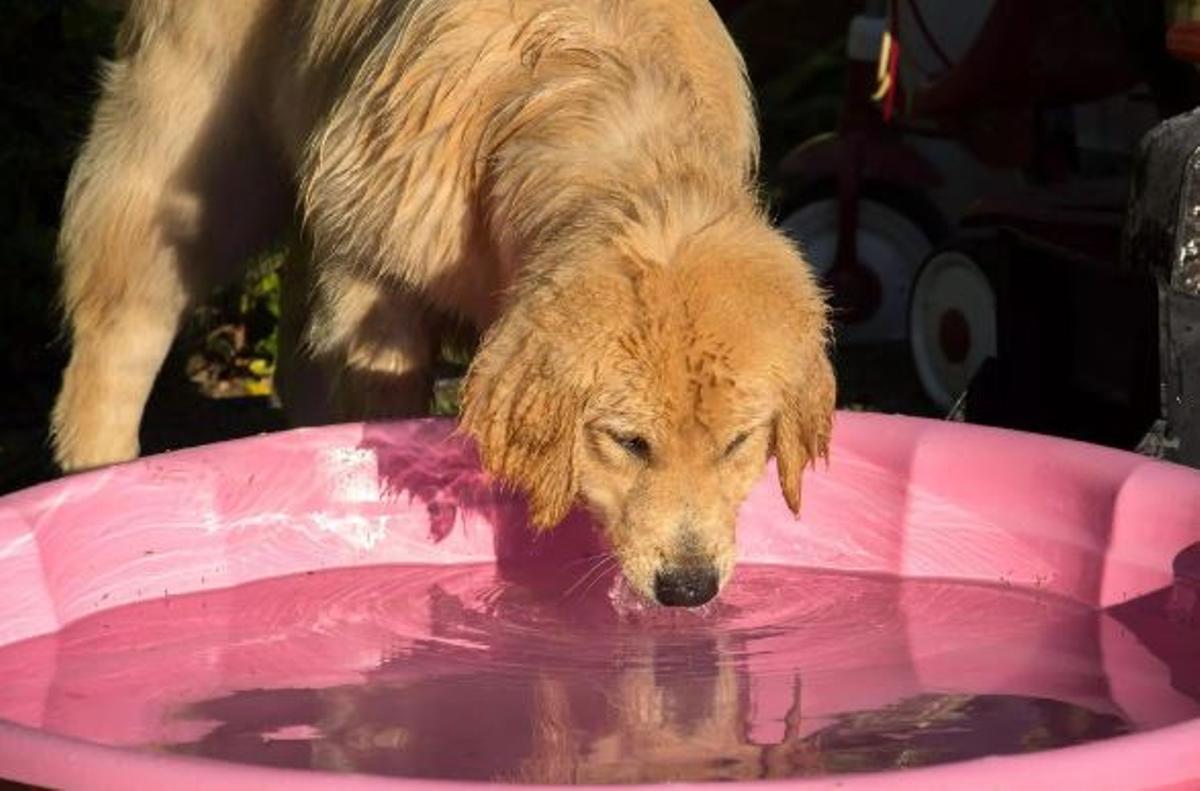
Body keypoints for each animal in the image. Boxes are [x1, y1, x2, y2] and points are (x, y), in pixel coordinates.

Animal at [49, 0, 835, 607]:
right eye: (628, 441)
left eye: (738, 442)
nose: (688, 587)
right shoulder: (378, 272)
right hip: (194, 146)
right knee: (124, 322)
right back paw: (97, 476)